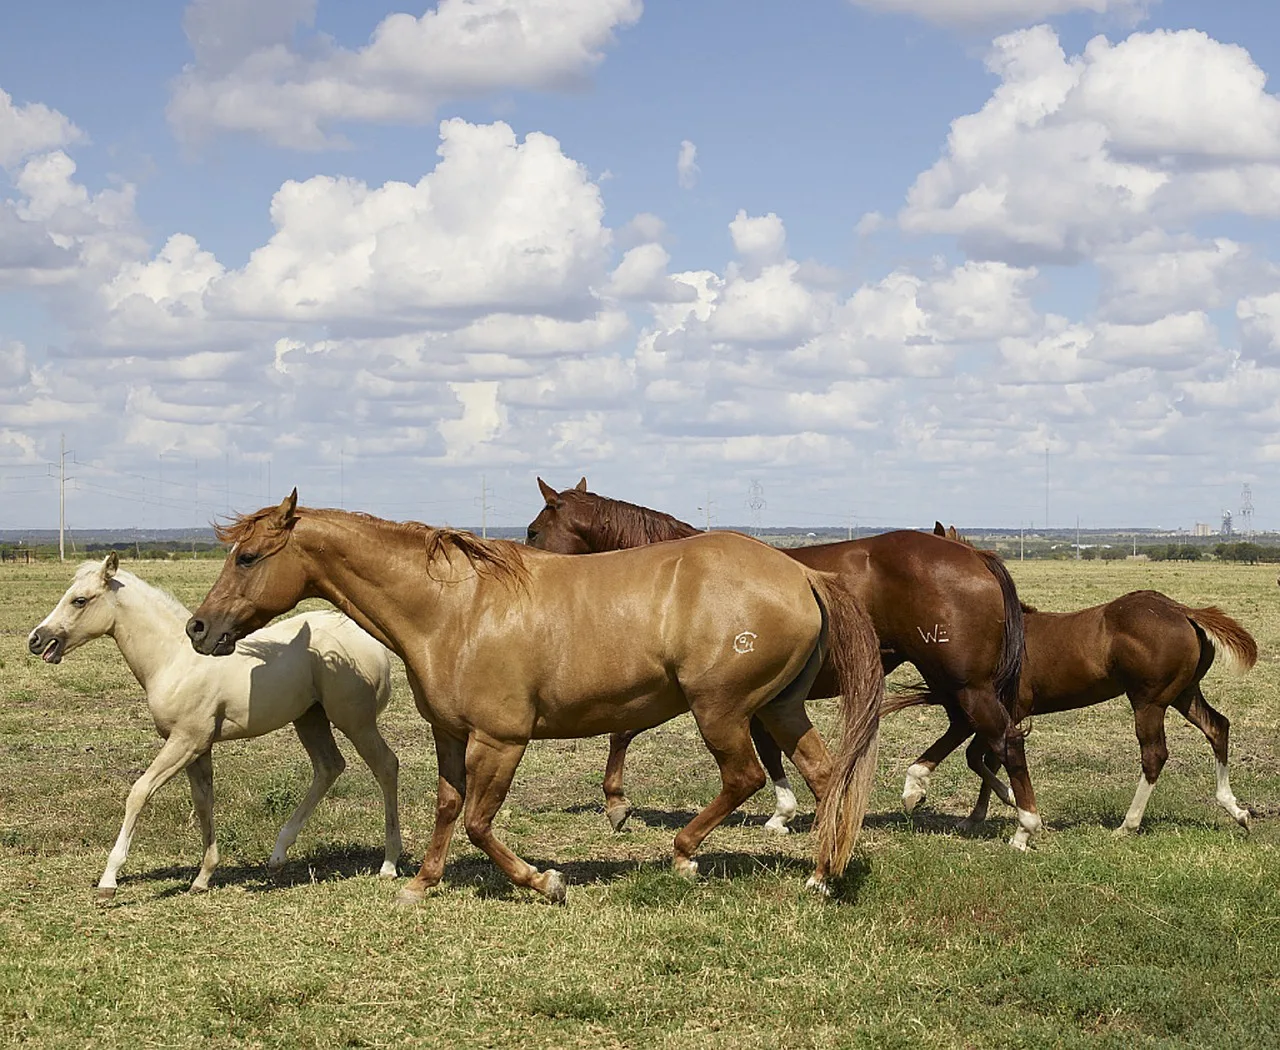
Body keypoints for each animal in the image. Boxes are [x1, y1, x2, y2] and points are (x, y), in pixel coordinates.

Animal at [27, 552, 402, 901]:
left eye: (79, 600)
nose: (36, 639)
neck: (175, 659)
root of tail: (371, 642)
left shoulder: (185, 741)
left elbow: (140, 792)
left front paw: (109, 880)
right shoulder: (199, 747)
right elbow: (203, 801)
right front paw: (203, 878)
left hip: (355, 721)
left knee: (386, 765)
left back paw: (389, 864)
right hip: (309, 718)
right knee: (329, 767)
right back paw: (278, 855)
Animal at [185, 491, 884, 904]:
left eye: (247, 557)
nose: (199, 628)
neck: (454, 609)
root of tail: (801, 572)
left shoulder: (501, 739)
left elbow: (478, 821)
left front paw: (543, 881)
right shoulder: (449, 734)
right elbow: (447, 806)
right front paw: (421, 882)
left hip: (723, 710)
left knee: (745, 777)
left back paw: (686, 857)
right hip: (780, 707)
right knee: (825, 775)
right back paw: (823, 874)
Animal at [525, 478, 1042, 848]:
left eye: (533, 530)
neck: (676, 575)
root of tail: (974, 554)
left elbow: (623, 731)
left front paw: (616, 802)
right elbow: (775, 751)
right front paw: (789, 812)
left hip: (962, 679)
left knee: (1005, 737)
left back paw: (1023, 823)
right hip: (950, 677)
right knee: (969, 727)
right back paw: (920, 783)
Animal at [898, 523, 1258, 835]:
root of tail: (1184, 611)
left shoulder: (1008, 709)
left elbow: (981, 757)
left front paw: (1008, 804)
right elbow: (986, 758)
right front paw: (976, 816)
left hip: (1149, 700)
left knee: (1154, 754)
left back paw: (1127, 825)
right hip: (1183, 693)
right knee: (1217, 726)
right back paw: (1237, 810)